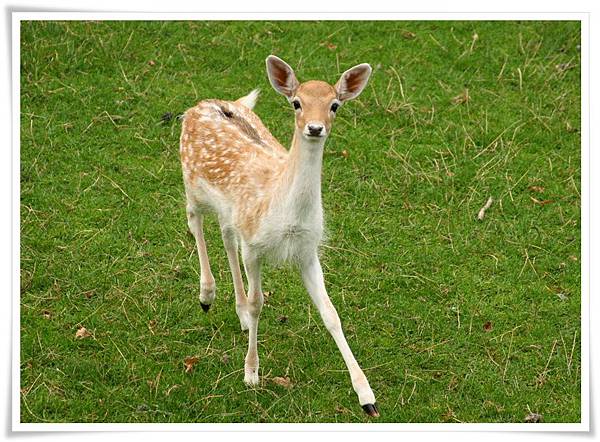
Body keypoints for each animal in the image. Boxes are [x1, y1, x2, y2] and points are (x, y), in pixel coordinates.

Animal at [178, 55, 378, 418]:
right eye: (296, 102)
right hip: (191, 181)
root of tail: (202, 104)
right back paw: (206, 294)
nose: (315, 128)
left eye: (335, 105)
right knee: (193, 219)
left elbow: (331, 313)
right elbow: (259, 303)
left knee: (226, 235)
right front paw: (251, 373)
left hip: (232, 213)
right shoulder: (255, 247)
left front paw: (366, 396)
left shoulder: (307, 251)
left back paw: (239, 313)